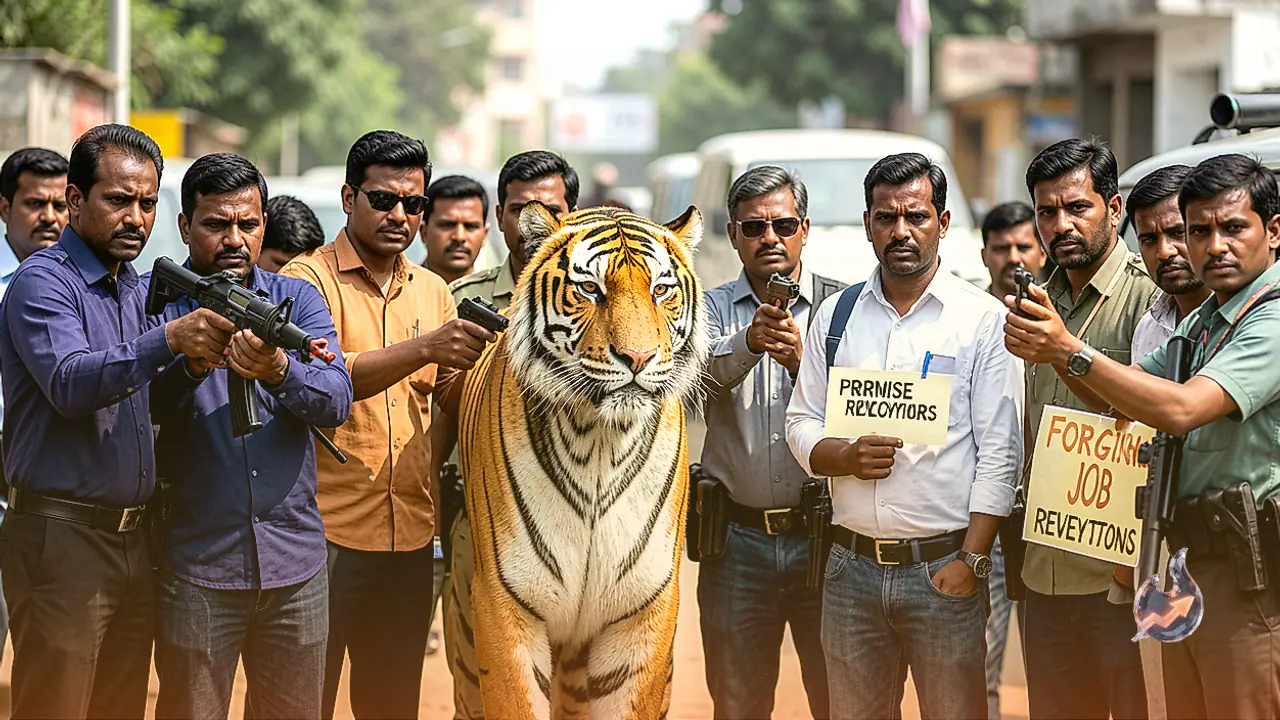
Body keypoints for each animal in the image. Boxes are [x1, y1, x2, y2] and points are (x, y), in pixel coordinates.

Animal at [456, 201, 707, 720]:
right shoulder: (503, 602)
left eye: (660, 290)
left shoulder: (643, 610)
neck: (599, 444)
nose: (638, 357)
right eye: (590, 289)